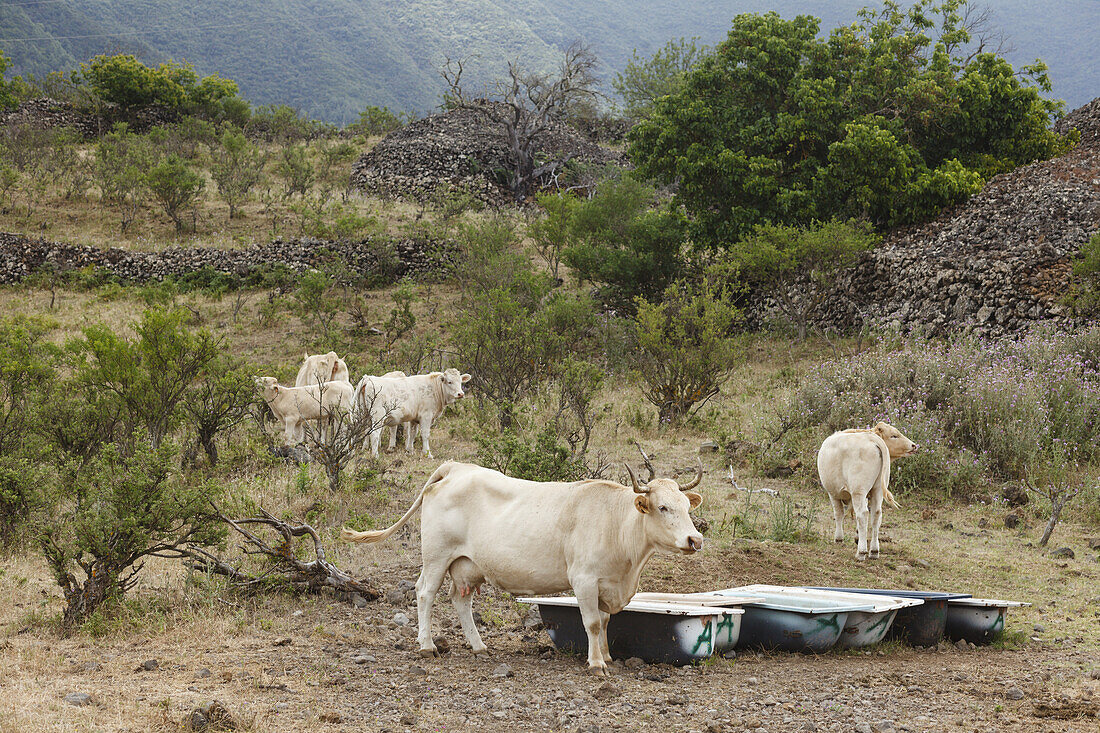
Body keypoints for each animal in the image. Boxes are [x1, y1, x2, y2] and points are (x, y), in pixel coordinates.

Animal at [341, 460, 704, 669]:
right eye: (662, 507)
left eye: (687, 506)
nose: (695, 540)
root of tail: (457, 467)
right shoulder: (584, 579)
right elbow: (592, 623)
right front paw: (596, 664)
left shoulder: (606, 584)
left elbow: (604, 622)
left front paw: (607, 656)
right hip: (436, 556)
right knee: (424, 593)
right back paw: (427, 647)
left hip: (467, 566)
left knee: (460, 601)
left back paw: (479, 647)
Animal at [818, 422, 919, 559]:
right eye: (894, 435)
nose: (914, 445)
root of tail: (871, 438)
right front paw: (857, 537)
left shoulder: (833, 493)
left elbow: (838, 514)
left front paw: (839, 538)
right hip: (878, 489)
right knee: (876, 514)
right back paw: (874, 551)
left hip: (858, 490)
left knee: (863, 514)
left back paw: (861, 552)